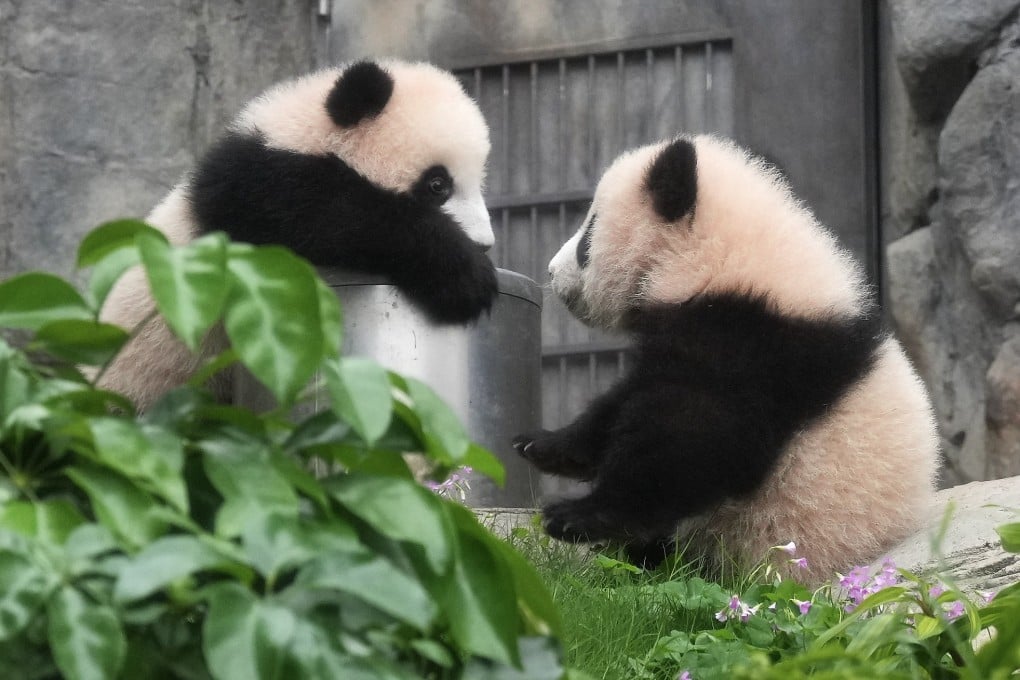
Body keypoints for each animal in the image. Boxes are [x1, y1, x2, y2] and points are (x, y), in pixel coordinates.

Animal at [100, 60, 497, 409]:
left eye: (479, 183)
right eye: (437, 184)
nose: (485, 245)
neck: (303, 132)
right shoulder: (255, 191)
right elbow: (333, 217)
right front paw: (464, 275)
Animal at [513, 135, 940, 582]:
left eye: (588, 236)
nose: (551, 272)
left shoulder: (754, 348)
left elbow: (691, 436)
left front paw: (577, 516)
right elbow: (622, 401)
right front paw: (542, 444)